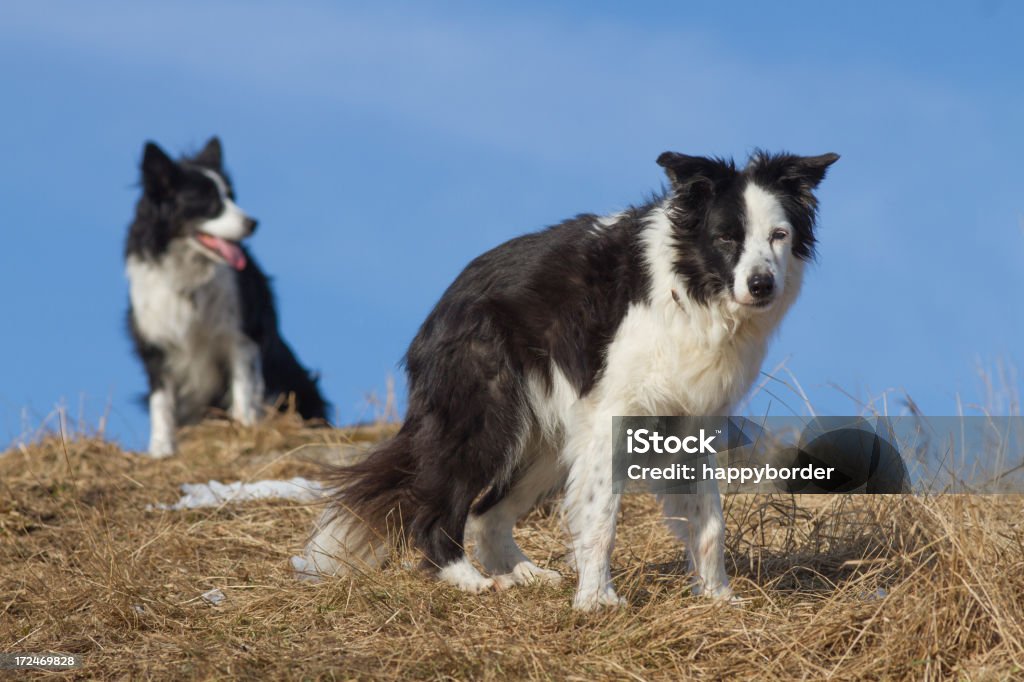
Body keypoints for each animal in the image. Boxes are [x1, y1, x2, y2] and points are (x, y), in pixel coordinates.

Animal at [124, 137, 327, 456]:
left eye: (232, 196)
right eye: (210, 203)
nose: (253, 223)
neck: (191, 278)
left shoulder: (241, 334)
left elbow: (243, 387)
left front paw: (244, 431)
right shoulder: (155, 340)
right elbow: (161, 401)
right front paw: (160, 449)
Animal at [299, 148, 839, 606]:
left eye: (779, 235)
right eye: (726, 237)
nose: (761, 285)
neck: (689, 287)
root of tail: (444, 303)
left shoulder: (692, 420)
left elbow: (709, 521)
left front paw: (719, 600)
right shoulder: (612, 416)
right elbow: (601, 515)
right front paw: (598, 602)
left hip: (545, 439)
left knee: (487, 513)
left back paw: (524, 573)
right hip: (490, 418)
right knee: (441, 504)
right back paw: (468, 578)